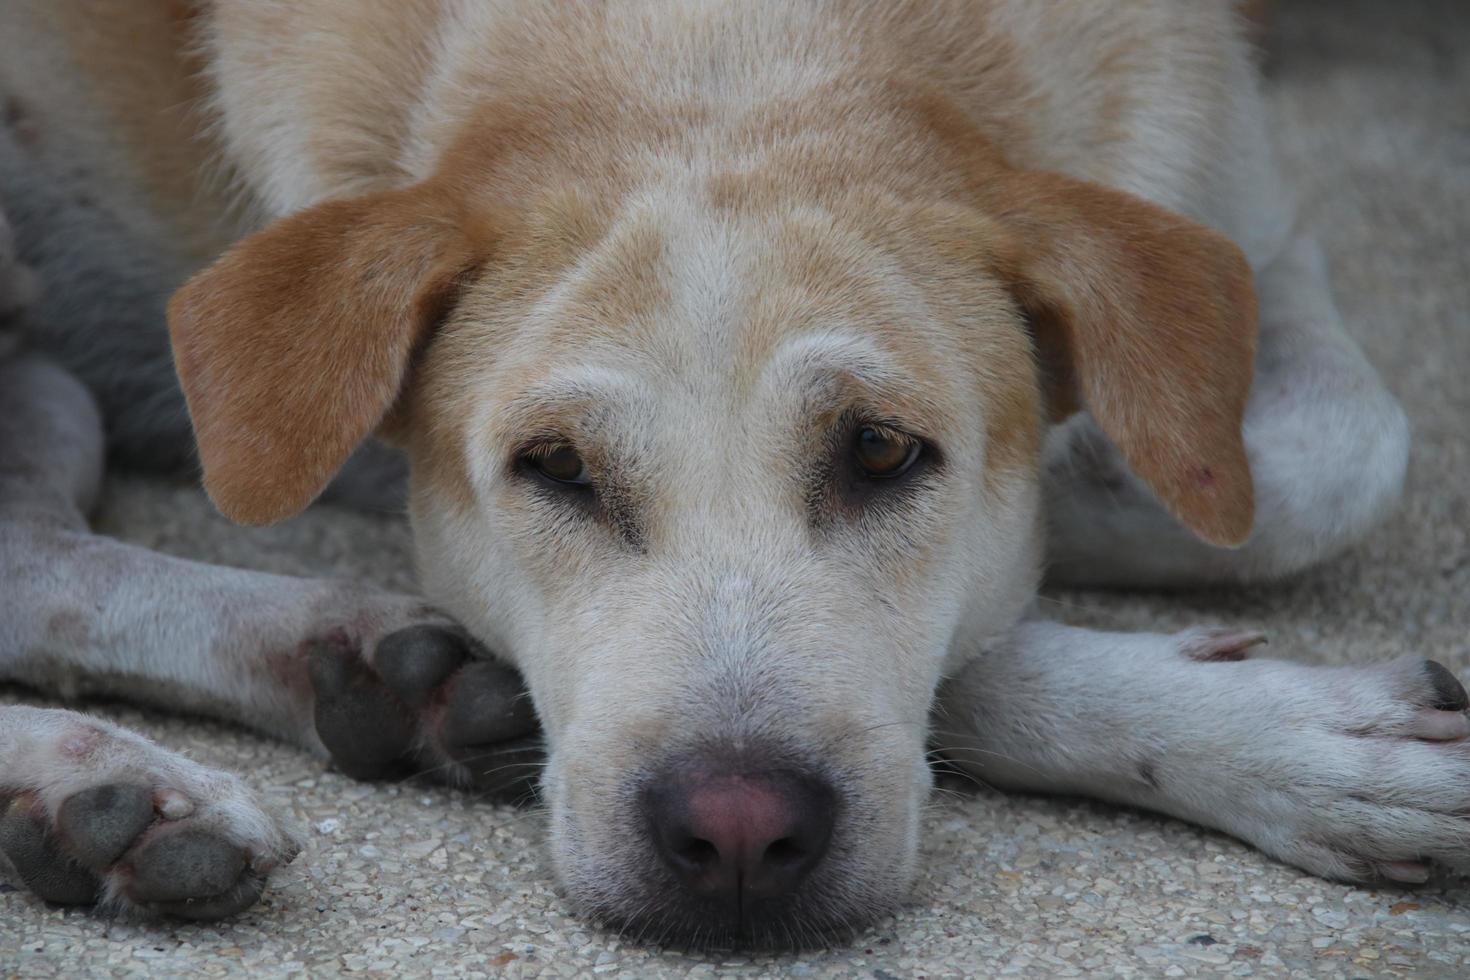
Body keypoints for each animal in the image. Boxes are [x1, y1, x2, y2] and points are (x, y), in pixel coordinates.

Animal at [0, 0, 1452, 952]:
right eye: (555, 468)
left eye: (881, 450)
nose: (740, 836)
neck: (719, 42)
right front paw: (1276, 731)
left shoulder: (1255, 232)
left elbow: (1323, 466)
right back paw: (93, 784)